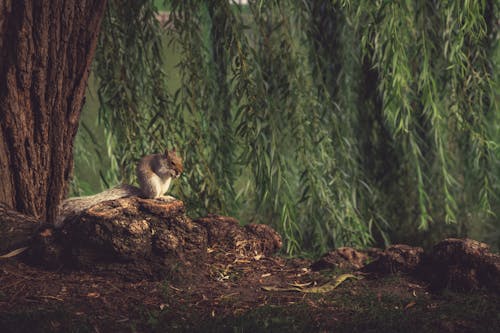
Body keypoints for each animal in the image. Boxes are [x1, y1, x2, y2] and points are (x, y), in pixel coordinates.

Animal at [55, 147, 184, 226]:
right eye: (172, 162)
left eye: (181, 160)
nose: (180, 172)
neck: (163, 160)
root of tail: (144, 191)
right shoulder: (157, 165)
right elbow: (162, 171)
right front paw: (172, 172)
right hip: (153, 183)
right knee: (152, 197)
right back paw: (160, 197)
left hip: (163, 187)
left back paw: (166, 196)